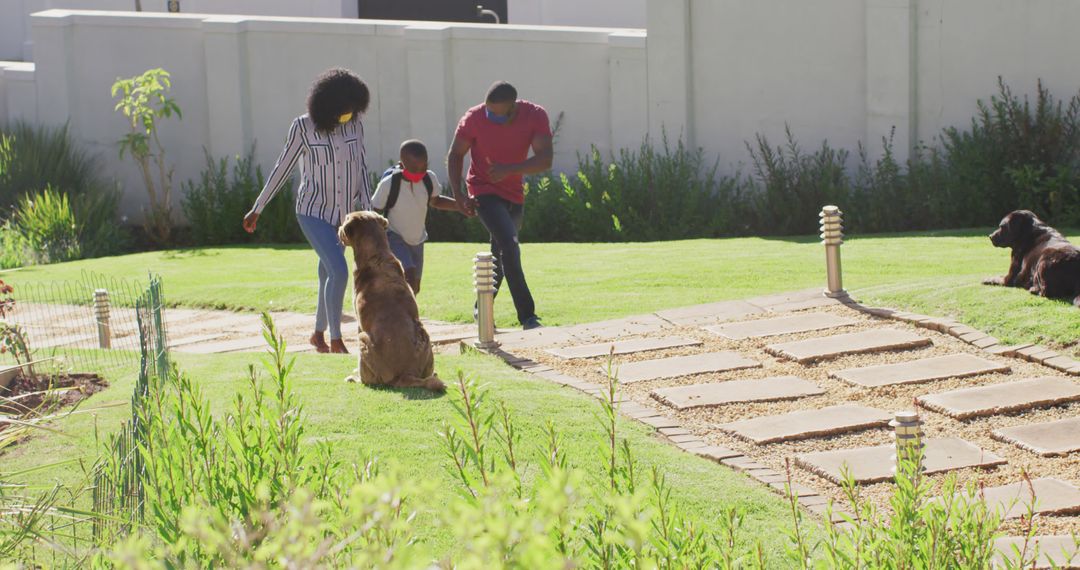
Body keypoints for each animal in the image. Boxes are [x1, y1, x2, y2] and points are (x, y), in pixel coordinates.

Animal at [332, 210, 442, 392]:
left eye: (346, 219)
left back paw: (355, 378)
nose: (338, 228)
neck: (376, 255)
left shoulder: (359, 324)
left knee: (368, 380)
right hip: (425, 335)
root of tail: (405, 374)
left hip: (363, 339)